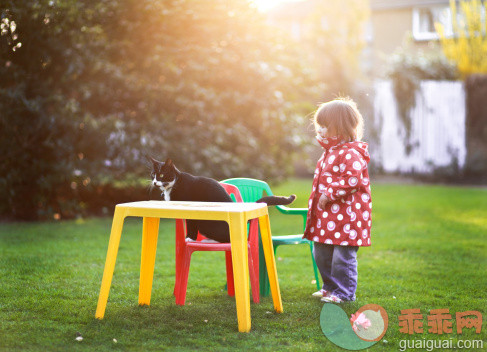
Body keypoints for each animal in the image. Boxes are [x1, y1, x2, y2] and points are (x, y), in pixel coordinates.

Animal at [149, 158, 296, 243]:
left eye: (161, 174)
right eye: (153, 175)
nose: (155, 182)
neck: (174, 184)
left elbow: (191, 225)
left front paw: (190, 238)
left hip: (207, 224)